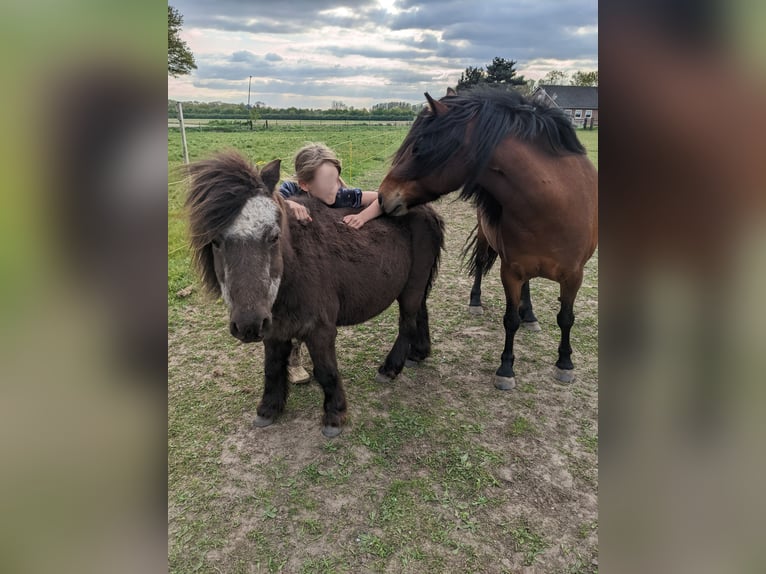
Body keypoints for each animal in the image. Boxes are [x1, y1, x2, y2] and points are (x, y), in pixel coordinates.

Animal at [187, 151, 448, 438]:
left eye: (273, 236)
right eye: (215, 241)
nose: (248, 325)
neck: (296, 268)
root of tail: (428, 211)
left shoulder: (320, 331)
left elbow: (326, 371)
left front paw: (334, 415)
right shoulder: (274, 330)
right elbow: (272, 368)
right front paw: (268, 409)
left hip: (412, 286)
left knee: (407, 322)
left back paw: (390, 368)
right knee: (422, 311)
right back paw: (418, 353)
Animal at [378, 86, 600, 392]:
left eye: (419, 147)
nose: (381, 196)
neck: (552, 206)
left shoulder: (574, 275)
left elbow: (566, 318)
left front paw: (564, 363)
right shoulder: (511, 271)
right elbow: (510, 320)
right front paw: (506, 369)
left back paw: (531, 315)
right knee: (484, 266)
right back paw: (479, 302)